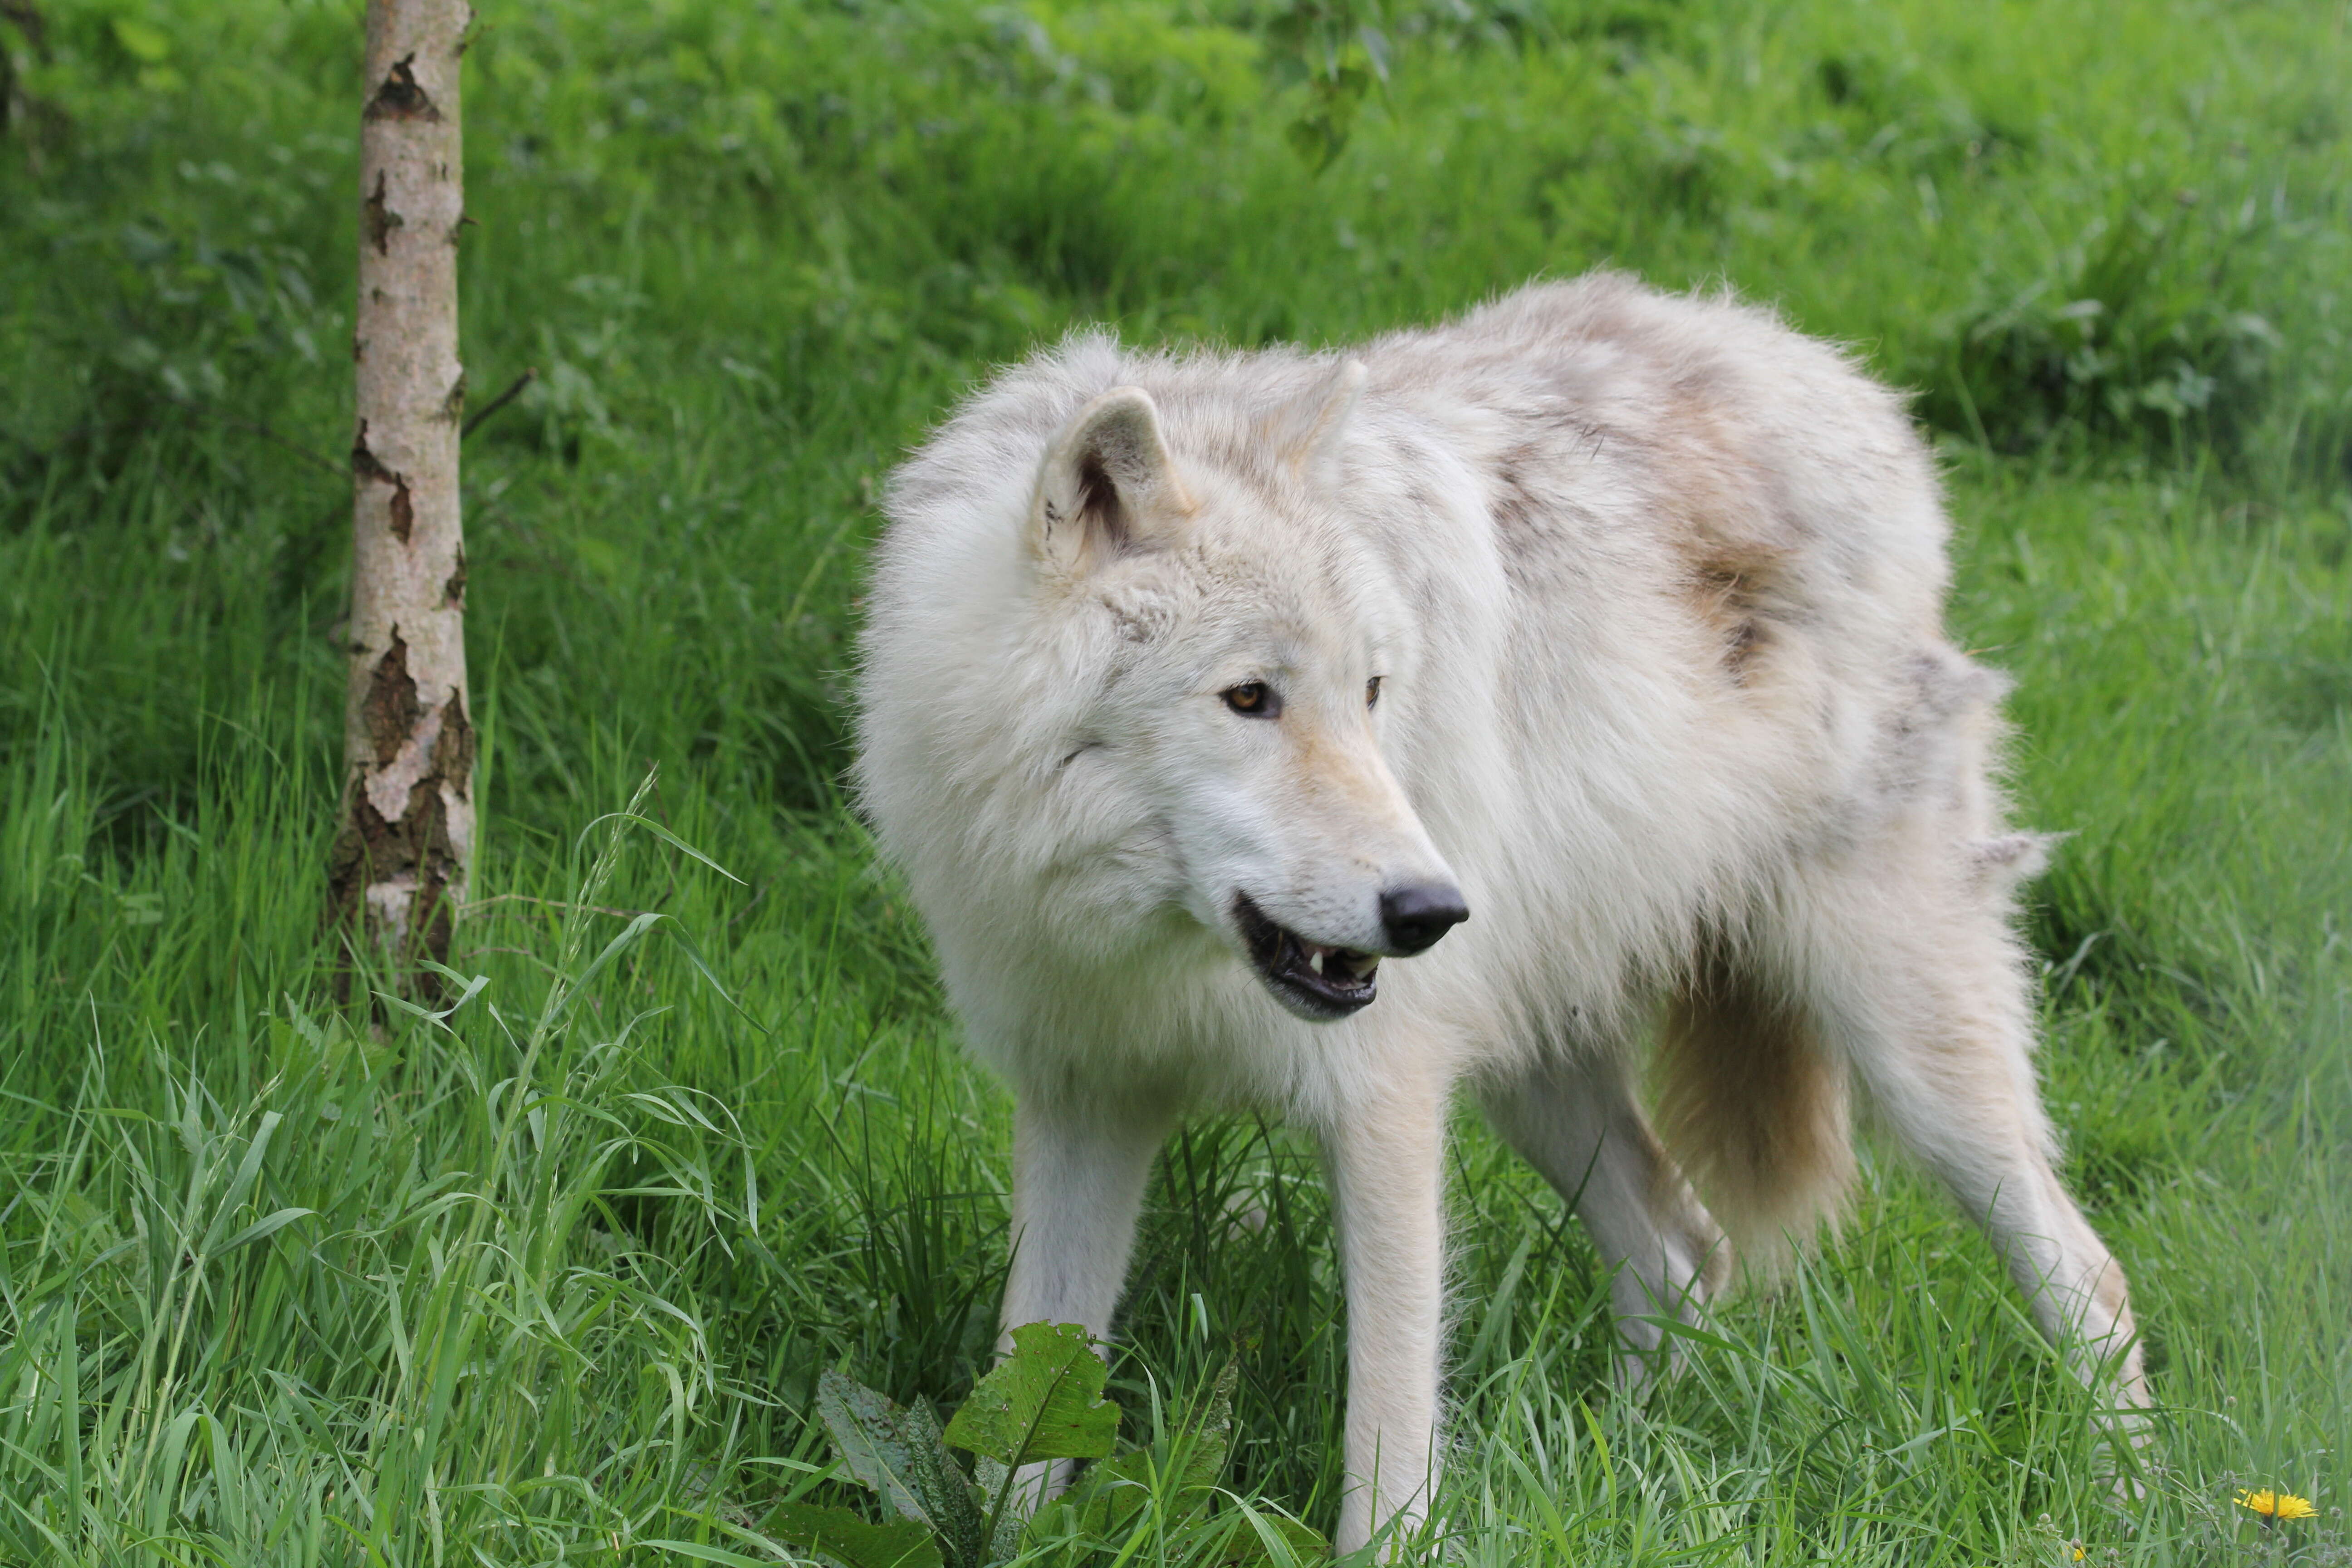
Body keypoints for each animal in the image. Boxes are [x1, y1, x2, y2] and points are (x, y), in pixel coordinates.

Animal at [861, 273, 2154, 1561]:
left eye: (1372, 691)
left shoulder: (1383, 1104)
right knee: (1684, 1250)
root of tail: (1844, 380)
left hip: (1903, 1045)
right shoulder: (1083, 1100)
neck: (1145, 941)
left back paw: (2125, 1507)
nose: (1432, 908)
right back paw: (1632, 1473)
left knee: (2090, 1276)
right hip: (1535, 1073)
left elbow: (1388, 1443)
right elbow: (1026, 1406)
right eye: (1248, 697)